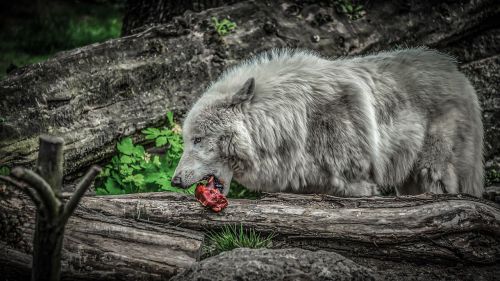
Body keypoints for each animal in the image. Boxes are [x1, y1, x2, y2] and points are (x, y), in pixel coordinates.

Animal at [172, 48, 484, 196]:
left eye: (197, 140)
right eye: (188, 140)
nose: (174, 180)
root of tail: (458, 72)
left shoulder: (358, 184)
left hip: (434, 172)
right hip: (408, 180)